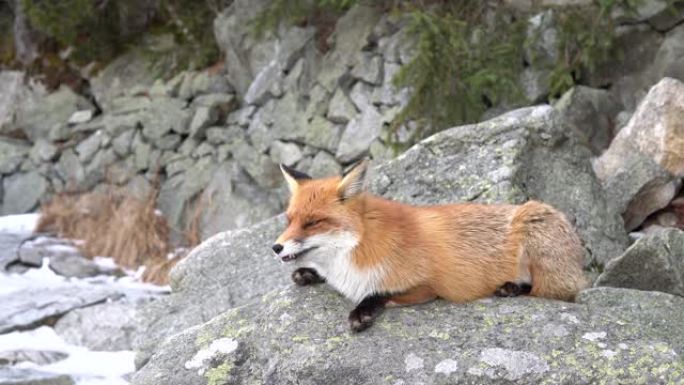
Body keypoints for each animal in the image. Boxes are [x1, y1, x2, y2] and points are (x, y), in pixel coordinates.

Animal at [272, 159, 588, 330]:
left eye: (313, 222)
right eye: (289, 220)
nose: (276, 247)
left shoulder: (427, 286)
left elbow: (379, 293)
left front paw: (362, 311)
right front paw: (309, 273)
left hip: (536, 224)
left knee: (554, 294)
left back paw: (511, 288)